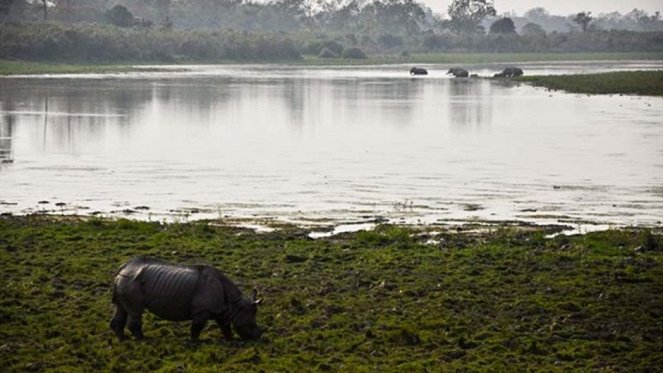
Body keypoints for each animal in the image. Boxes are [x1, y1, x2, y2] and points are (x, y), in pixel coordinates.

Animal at [111, 256, 262, 340]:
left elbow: (225, 325)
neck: (235, 304)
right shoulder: (202, 311)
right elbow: (196, 327)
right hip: (131, 281)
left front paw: (230, 339)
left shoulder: (222, 310)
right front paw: (194, 341)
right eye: (251, 324)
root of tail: (122, 268)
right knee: (135, 311)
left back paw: (122, 338)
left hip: (126, 280)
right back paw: (142, 339)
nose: (257, 336)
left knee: (121, 309)